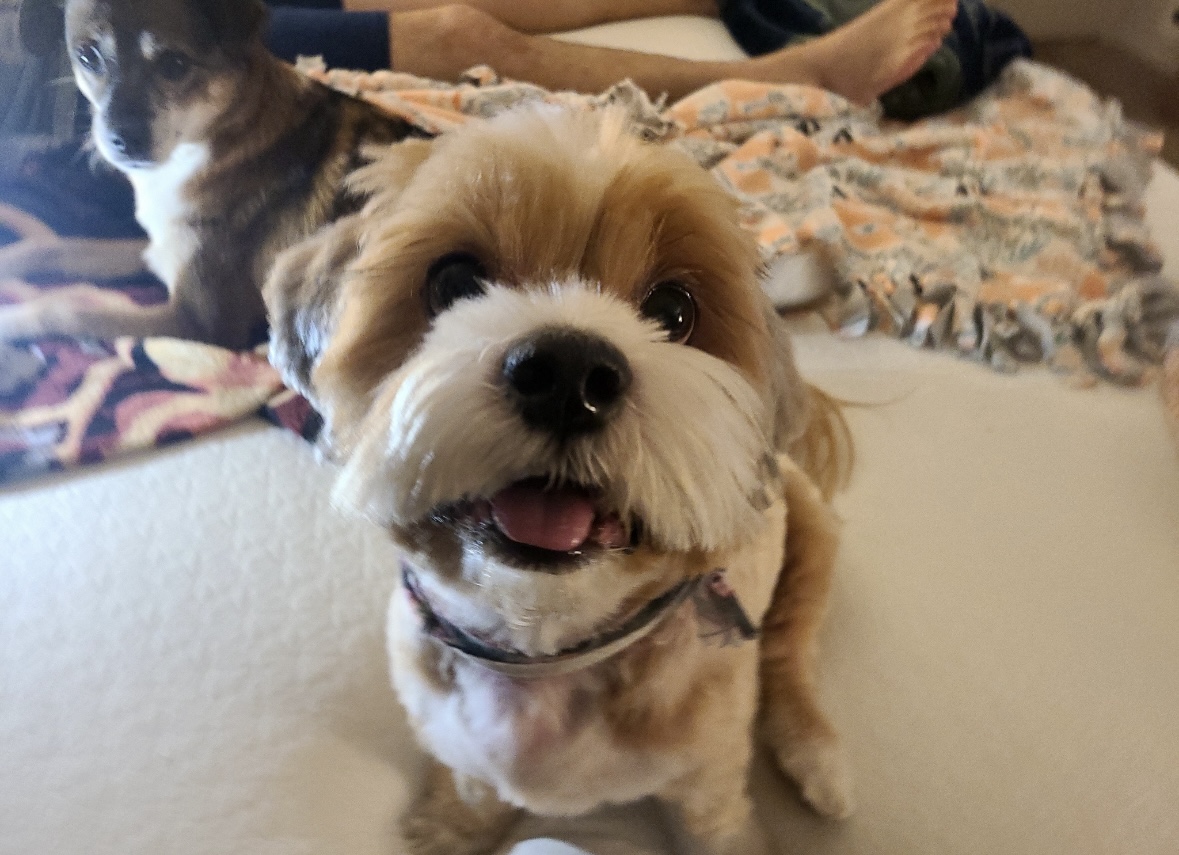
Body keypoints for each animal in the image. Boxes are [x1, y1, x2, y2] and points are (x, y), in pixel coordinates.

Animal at [2, 0, 422, 349]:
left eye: (175, 64)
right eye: (87, 56)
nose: (123, 141)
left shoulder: (201, 322)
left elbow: (68, 307)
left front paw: (12, 322)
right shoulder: (159, 249)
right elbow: (58, 246)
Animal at [265, 106, 854, 855]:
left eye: (674, 311)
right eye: (453, 282)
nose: (570, 373)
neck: (543, 652)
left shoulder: (710, 783)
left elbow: (719, 823)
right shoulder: (459, 745)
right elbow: (468, 794)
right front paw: (446, 828)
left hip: (811, 538)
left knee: (788, 650)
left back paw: (814, 748)